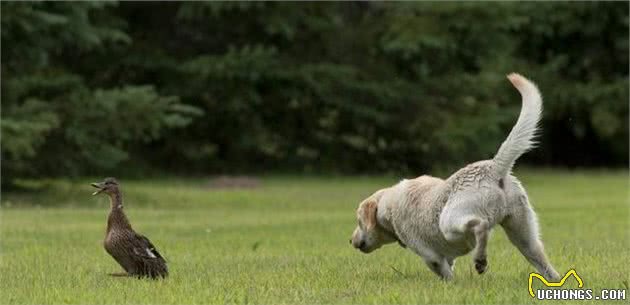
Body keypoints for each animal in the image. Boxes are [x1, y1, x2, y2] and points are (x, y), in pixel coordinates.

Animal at [350, 72, 564, 280]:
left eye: (359, 221)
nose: (350, 240)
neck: (386, 204)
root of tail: (493, 167)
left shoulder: (430, 256)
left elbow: (445, 273)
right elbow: (450, 264)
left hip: (450, 222)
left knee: (480, 226)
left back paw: (480, 260)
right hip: (523, 235)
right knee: (542, 262)